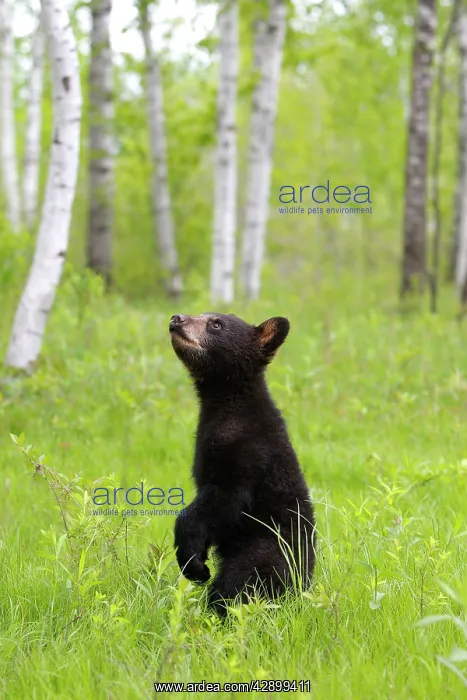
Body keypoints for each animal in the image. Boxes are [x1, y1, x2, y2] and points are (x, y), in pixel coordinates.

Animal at [169, 312, 316, 616]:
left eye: (216, 323)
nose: (177, 318)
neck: (228, 406)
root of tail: (305, 586)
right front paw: (197, 559)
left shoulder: (251, 454)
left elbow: (224, 500)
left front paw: (194, 565)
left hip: (265, 551)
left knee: (239, 585)